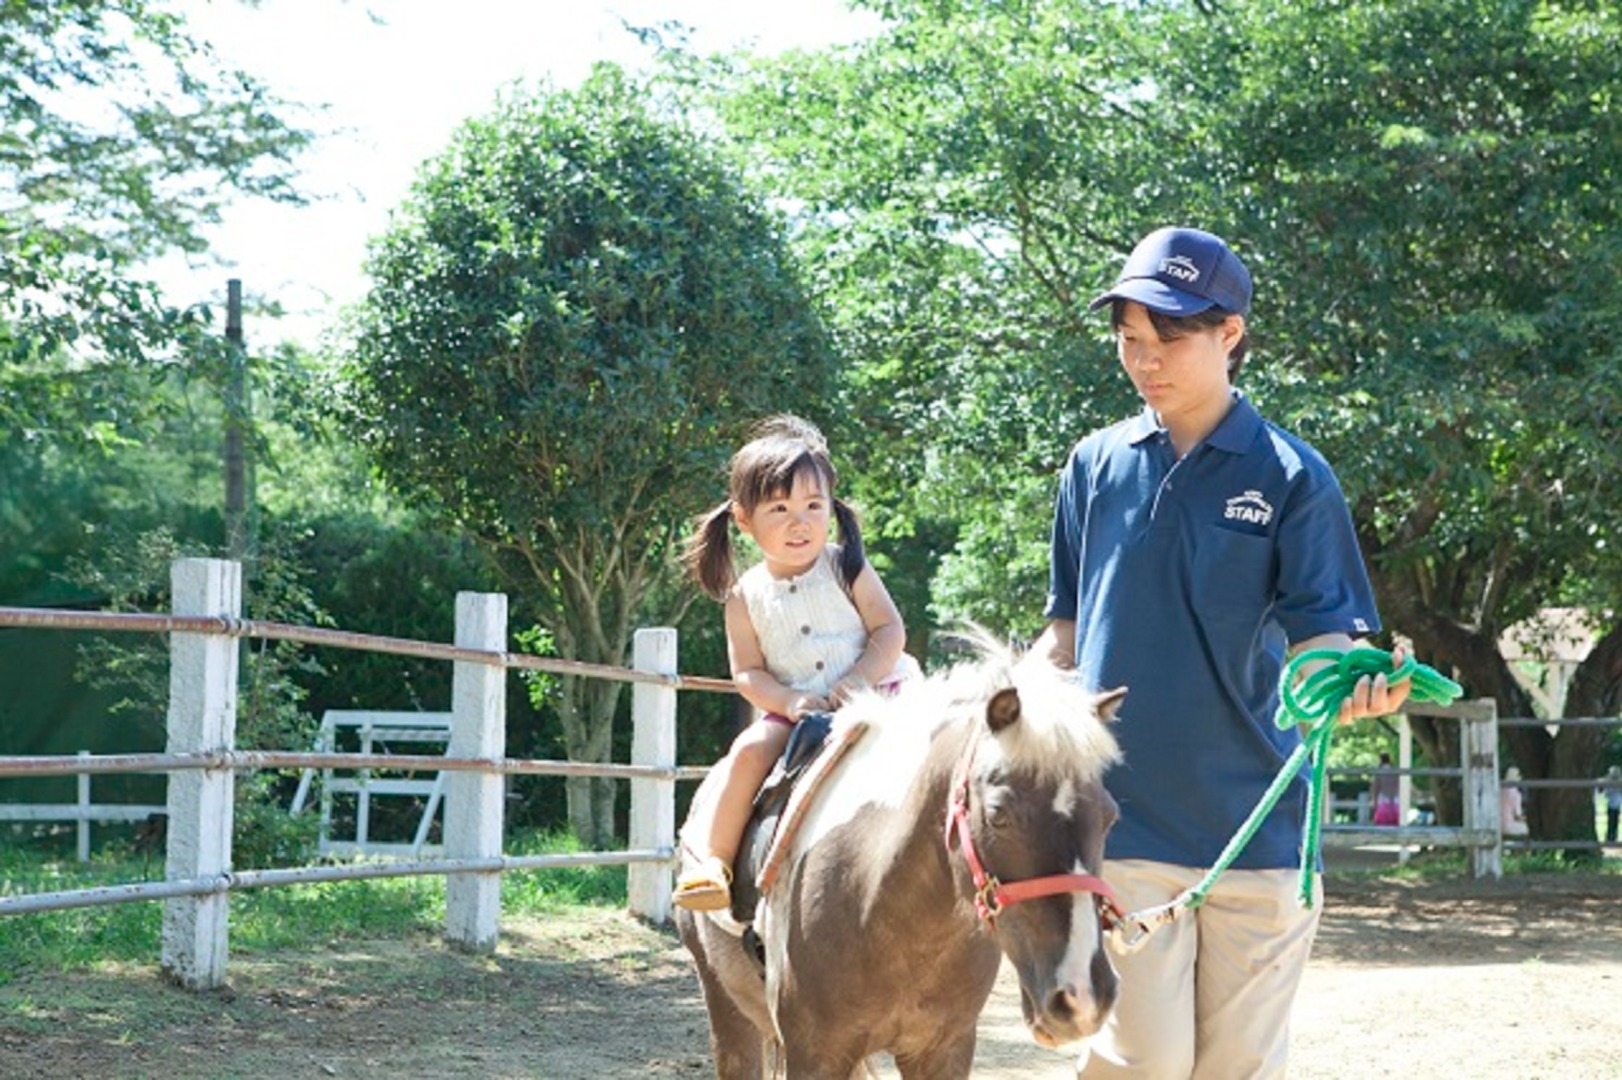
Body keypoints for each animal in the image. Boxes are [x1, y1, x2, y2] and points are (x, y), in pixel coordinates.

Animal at [677, 638, 1122, 1076]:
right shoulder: (815, 1054)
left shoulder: (944, 1050)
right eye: (998, 814)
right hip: (727, 1010)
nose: (1083, 995)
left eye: (1110, 816)